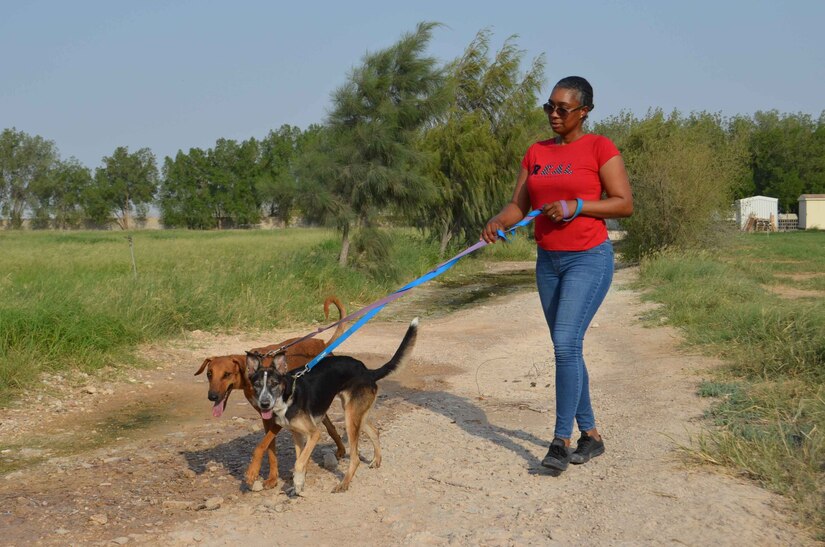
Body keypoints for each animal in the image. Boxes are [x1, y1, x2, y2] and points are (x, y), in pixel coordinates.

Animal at [195, 298, 346, 490]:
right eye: (209, 374)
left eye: (227, 374)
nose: (212, 397)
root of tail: (323, 344)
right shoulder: (267, 418)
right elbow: (270, 449)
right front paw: (273, 478)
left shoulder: (277, 418)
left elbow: (260, 447)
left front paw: (252, 472)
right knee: (328, 426)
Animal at [243, 318, 412, 494]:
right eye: (256, 385)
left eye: (274, 384)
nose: (264, 403)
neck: (288, 396)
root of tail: (367, 371)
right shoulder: (297, 434)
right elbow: (300, 459)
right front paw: (298, 483)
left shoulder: (314, 433)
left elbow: (299, 462)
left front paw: (298, 480)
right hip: (356, 413)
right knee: (374, 431)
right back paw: (377, 460)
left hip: (350, 418)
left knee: (356, 458)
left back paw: (344, 483)